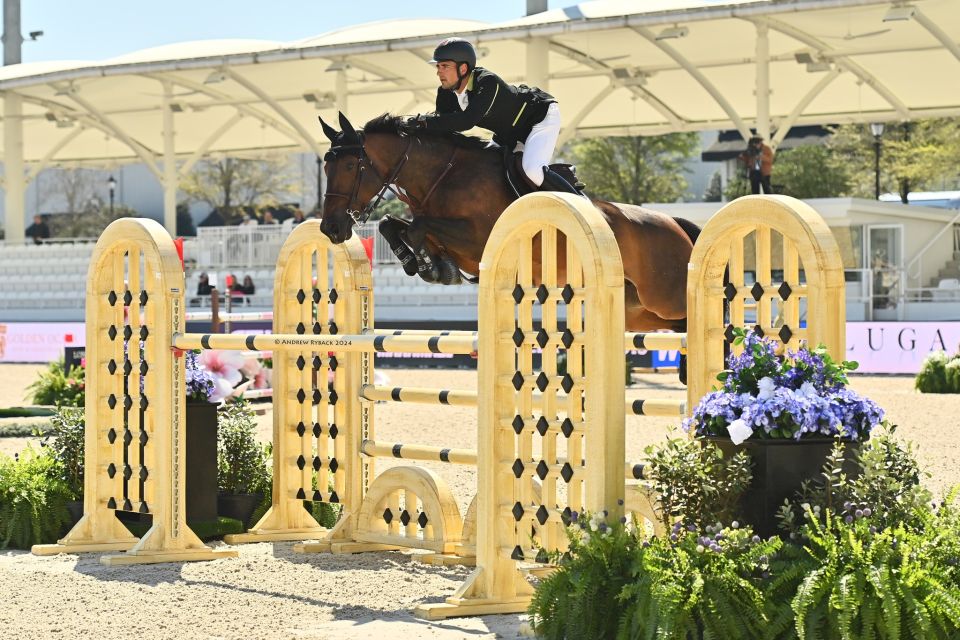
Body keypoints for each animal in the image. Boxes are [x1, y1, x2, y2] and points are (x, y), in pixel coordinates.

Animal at [316, 112, 696, 336]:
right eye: (325, 167)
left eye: (349, 166)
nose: (331, 229)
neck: (445, 174)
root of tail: (675, 224)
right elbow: (391, 225)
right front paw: (423, 263)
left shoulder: (477, 239)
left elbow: (417, 226)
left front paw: (430, 265)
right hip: (638, 309)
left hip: (663, 295)